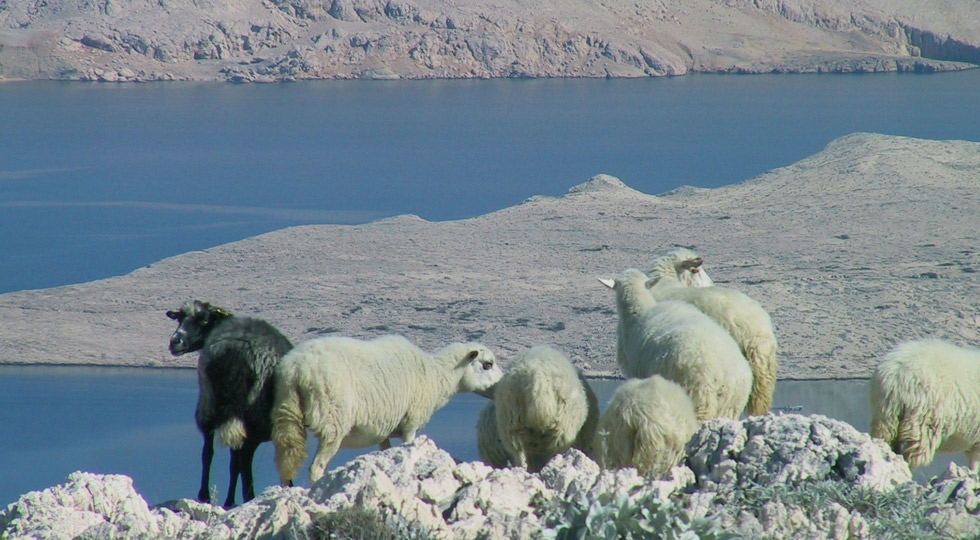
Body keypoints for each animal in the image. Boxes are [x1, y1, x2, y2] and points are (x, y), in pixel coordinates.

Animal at [166, 300, 293, 508]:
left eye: (203, 320)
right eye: (179, 318)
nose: (174, 341)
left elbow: (211, 455)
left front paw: (212, 497)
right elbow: (235, 462)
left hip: (216, 406)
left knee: (233, 456)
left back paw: (237, 497)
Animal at [272, 334, 502, 485]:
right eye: (487, 364)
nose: (502, 384)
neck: (437, 375)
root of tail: (296, 369)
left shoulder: (383, 429)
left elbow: (386, 452)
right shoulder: (411, 423)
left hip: (286, 414)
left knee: (286, 462)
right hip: (332, 421)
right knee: (316, 467)